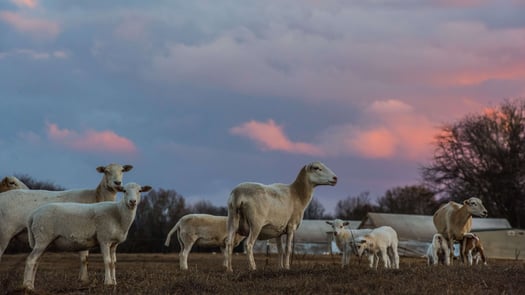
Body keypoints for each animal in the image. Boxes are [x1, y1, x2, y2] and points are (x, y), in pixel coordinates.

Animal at [0, 163, 133, 284]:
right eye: (106, 171)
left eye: (122, 170)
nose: (117, 183)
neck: (96, 197)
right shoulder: (82, 233)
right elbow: (84, 258)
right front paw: (84, 279)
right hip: (5, 232)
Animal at [22, 183, 151, 292]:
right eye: (124, 191)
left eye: (140, 191)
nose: (132, 201)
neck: (118, 214)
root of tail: (32, 215)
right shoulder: (104, 239)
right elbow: (107, 261)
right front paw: (108, 283)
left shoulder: (114, 244)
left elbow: (114, 262)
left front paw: (115, 282)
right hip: (42, 237)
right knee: (31, 260)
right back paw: (27, 287)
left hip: (44, 241)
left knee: (36, 262)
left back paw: (31, 285)